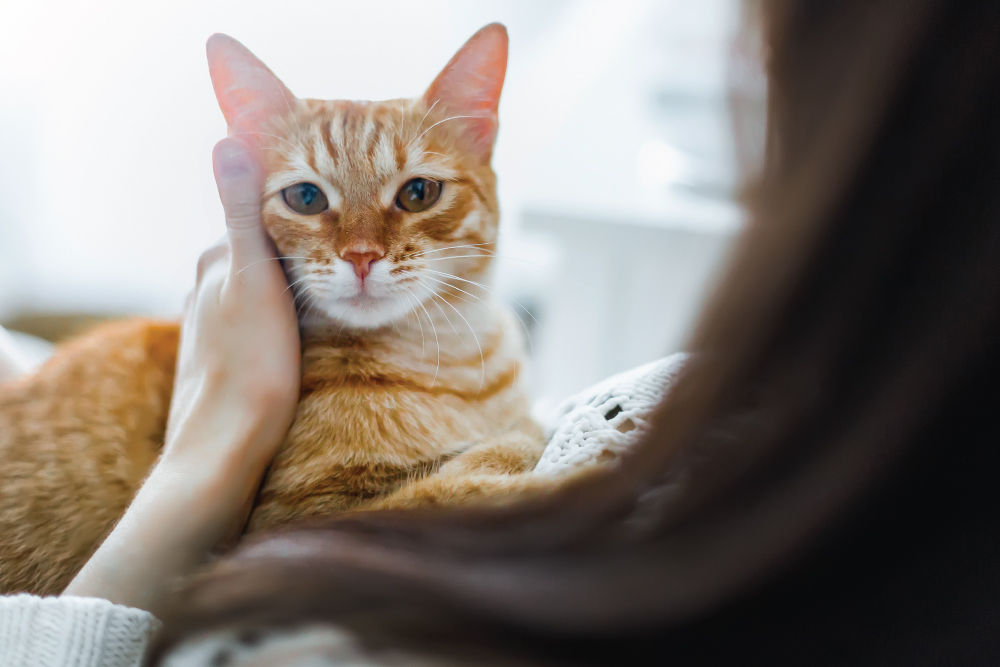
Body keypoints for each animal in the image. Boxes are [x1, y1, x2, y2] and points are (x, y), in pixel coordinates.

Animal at [0, 23, 548, 596]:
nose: (361, 256)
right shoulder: (291, 529)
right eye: (306, 198)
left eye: (419, 192)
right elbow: (458, 486)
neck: (448, 363)